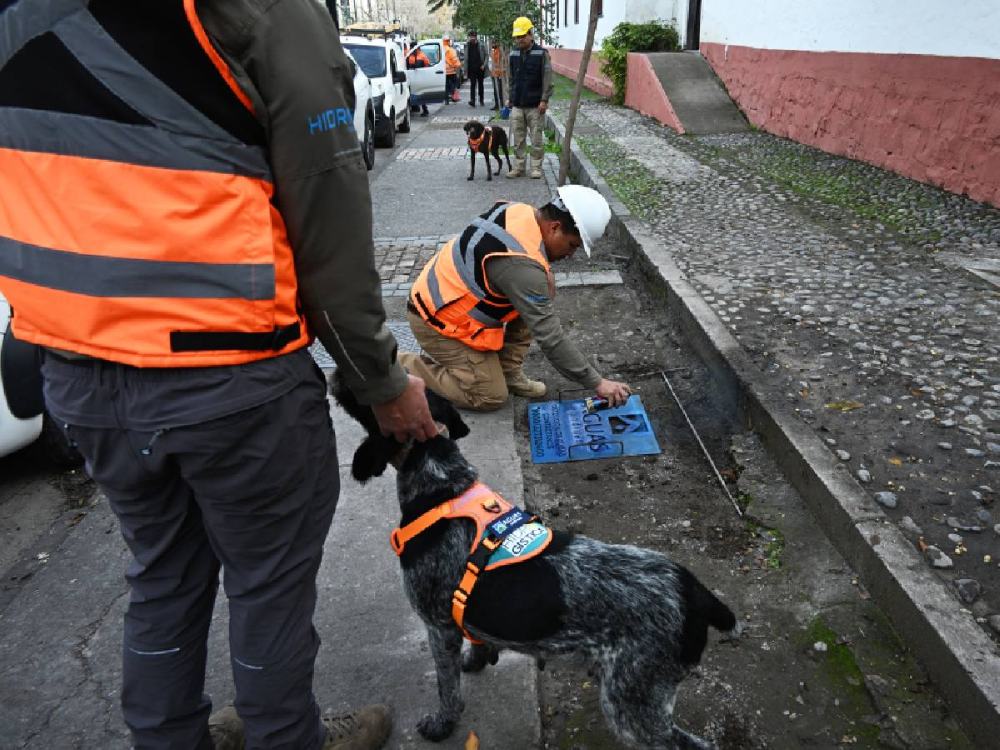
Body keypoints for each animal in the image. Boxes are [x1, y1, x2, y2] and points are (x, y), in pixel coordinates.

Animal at [332, 376, 740, 750]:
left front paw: (442, 723)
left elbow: (448, 689)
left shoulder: (438, 625)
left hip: (633, 703)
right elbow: (475, 641)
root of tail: (698, 595)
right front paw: (477, 658)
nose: (338, 375)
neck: (441, 485)